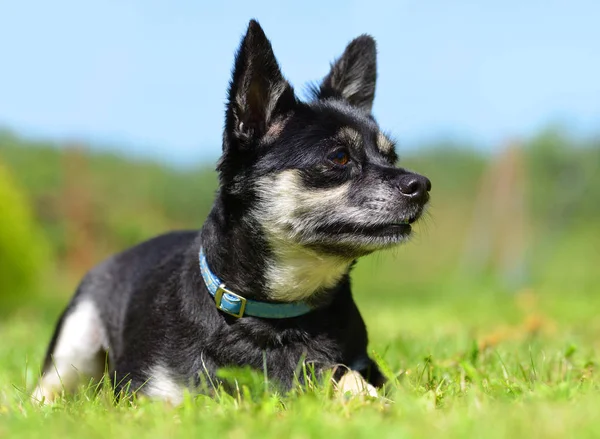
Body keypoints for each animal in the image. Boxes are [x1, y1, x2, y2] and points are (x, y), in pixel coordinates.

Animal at [31, 20, 432, 406]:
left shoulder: (354, 364)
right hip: (75, 342)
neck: (277, 315)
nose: (422, 185)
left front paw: (367, 398)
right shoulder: (148, 395)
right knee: (46, 389)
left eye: (390, 157)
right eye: (339, 157)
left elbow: (348, 375)